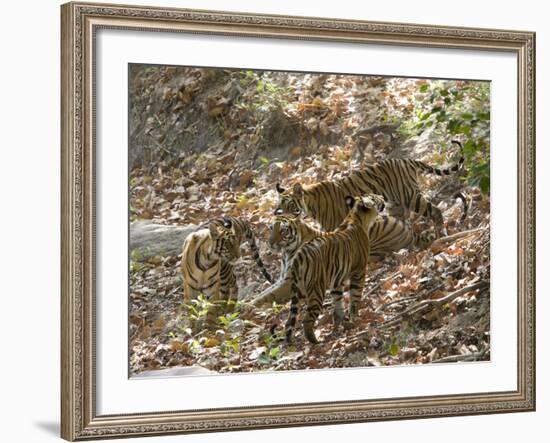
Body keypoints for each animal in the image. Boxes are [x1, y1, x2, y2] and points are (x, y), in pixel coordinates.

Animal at [274, 194, 386, 344]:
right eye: (374, 197)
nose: (382, 196)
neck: (356, 217)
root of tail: (299, 256)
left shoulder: (337, 280)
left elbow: (338, 303)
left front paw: (343, 322)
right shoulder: (359, 271)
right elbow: (355, 297)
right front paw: (355, 318)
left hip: (298, 290)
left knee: (289, 321)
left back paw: (289, 340)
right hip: (316, 290)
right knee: (307, 319)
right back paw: (315, 341)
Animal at [276, 141, 466, 232]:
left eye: (290, 206)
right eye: (280, 207)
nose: (281, 217)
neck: (310, 207)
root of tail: (405, 160)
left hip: (409, 196)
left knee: (435, 211)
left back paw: (441, 231)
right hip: (395, 204)